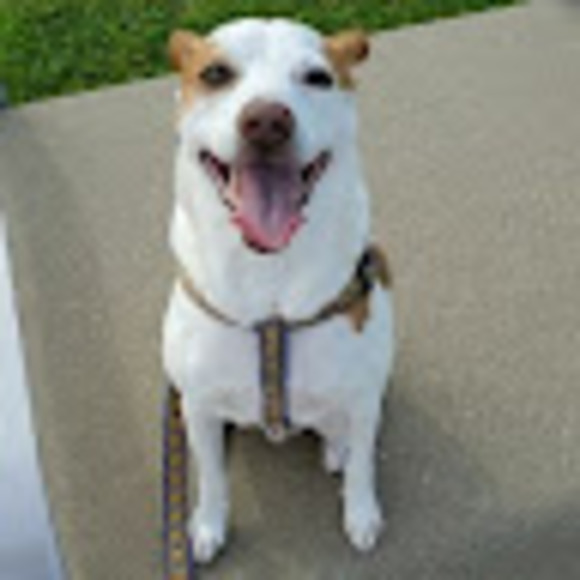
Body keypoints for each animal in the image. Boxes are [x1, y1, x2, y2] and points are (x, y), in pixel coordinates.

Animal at [162, 18, 395, 564]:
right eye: (215, 73)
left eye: (317, 77)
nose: (267, 121)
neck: (269, 286)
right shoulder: (198, 405)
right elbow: (211, 478)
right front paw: (207, 524)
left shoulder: (364, 398)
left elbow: (363, 467)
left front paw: (360, 512)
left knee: (343, 436)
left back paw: (335, 448)